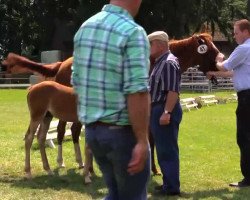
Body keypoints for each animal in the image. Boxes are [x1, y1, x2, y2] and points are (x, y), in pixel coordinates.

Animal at [2, 32, 221, 177]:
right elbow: (148, 139)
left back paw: (79, 163)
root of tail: (61, 63)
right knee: (63, 132)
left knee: (71, 132)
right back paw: (62, 162)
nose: (218, 70)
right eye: (209, 50)